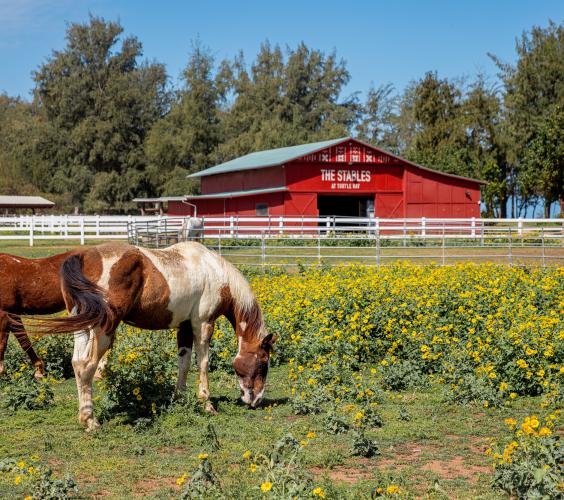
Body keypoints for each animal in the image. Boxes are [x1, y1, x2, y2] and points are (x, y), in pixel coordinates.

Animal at [37, 241, 276, 430]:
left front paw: (180, 397)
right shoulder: (203, 324)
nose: (256, 400)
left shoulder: (184, 327)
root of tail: (84, 257)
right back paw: (90, 420)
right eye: (263, 363)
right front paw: (206, 403)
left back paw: (83, 416)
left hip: (83, 328)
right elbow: (203, 363)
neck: (215, 272)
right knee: (87, 365)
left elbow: (184, 363)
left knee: (77, 363)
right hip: (103, 329)